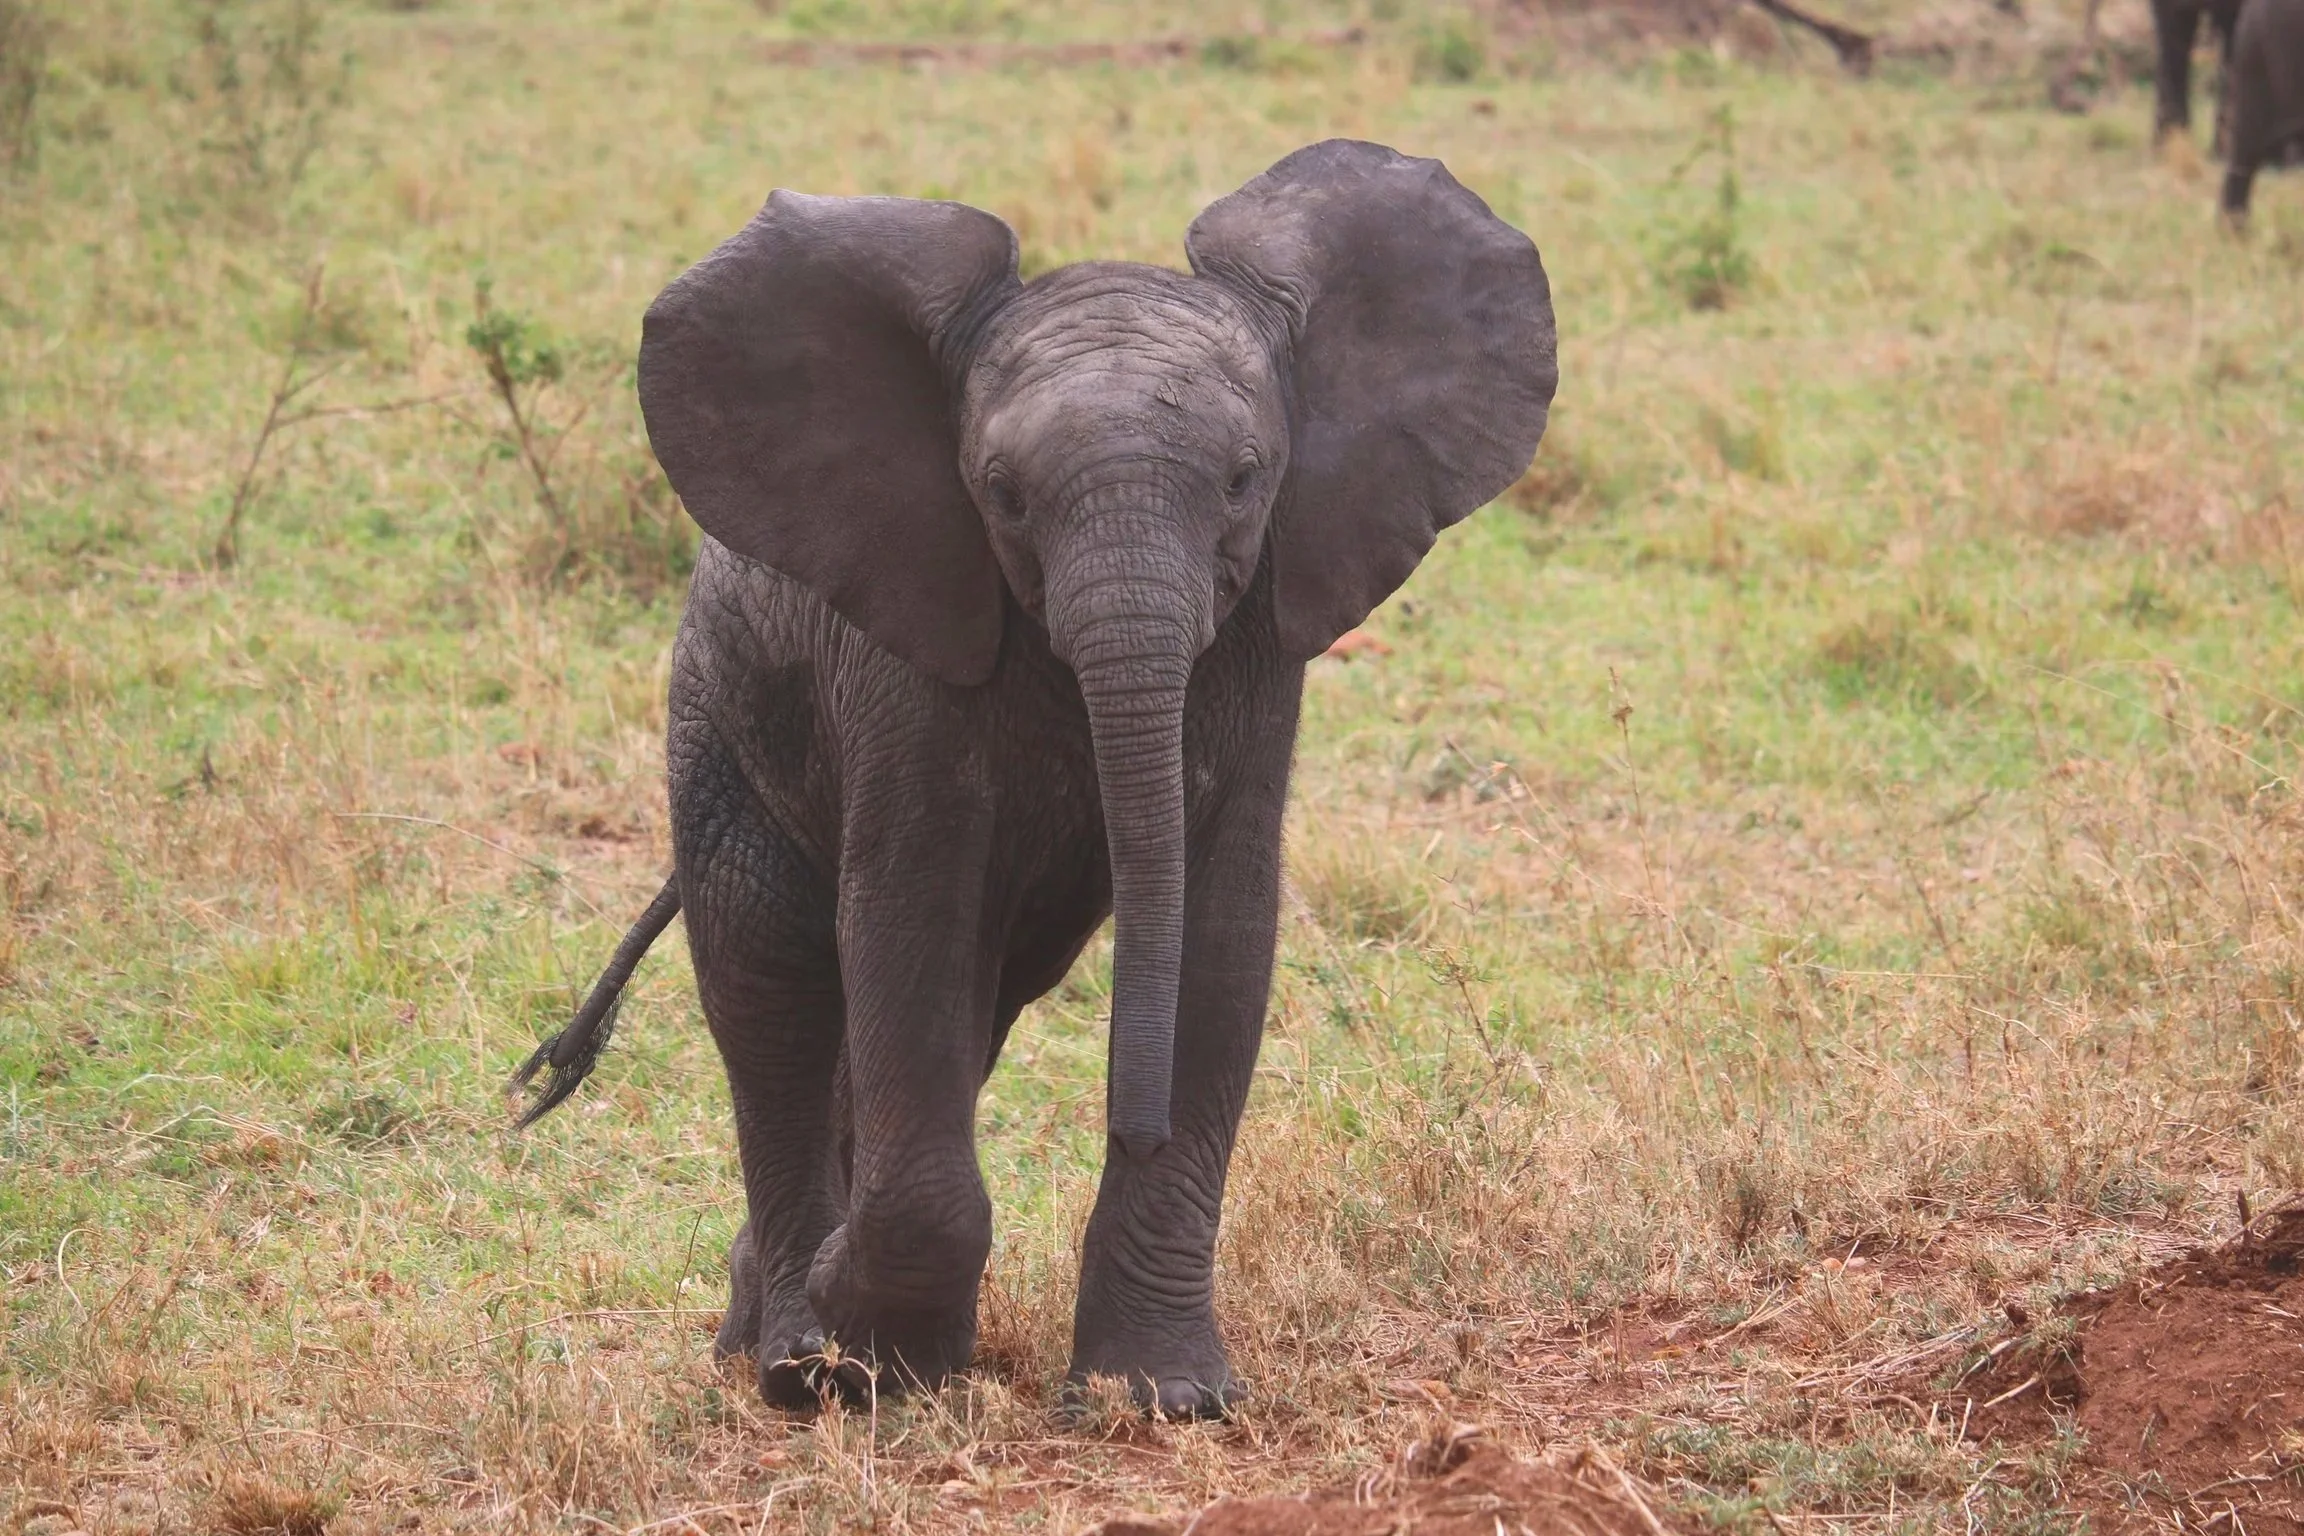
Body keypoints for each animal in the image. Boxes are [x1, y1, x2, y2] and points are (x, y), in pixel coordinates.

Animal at [511, 139, 1557, 1417]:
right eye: (1002, 492)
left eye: (1245, 479)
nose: (1135, 1122)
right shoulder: (906, 653)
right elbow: (908, 918)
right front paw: (863, 1353)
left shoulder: (1263, 635)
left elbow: (1219, 934)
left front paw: (1162, 1399)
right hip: (718, 710)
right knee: (775, 974)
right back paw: (788, 1356)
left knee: (970, 997)